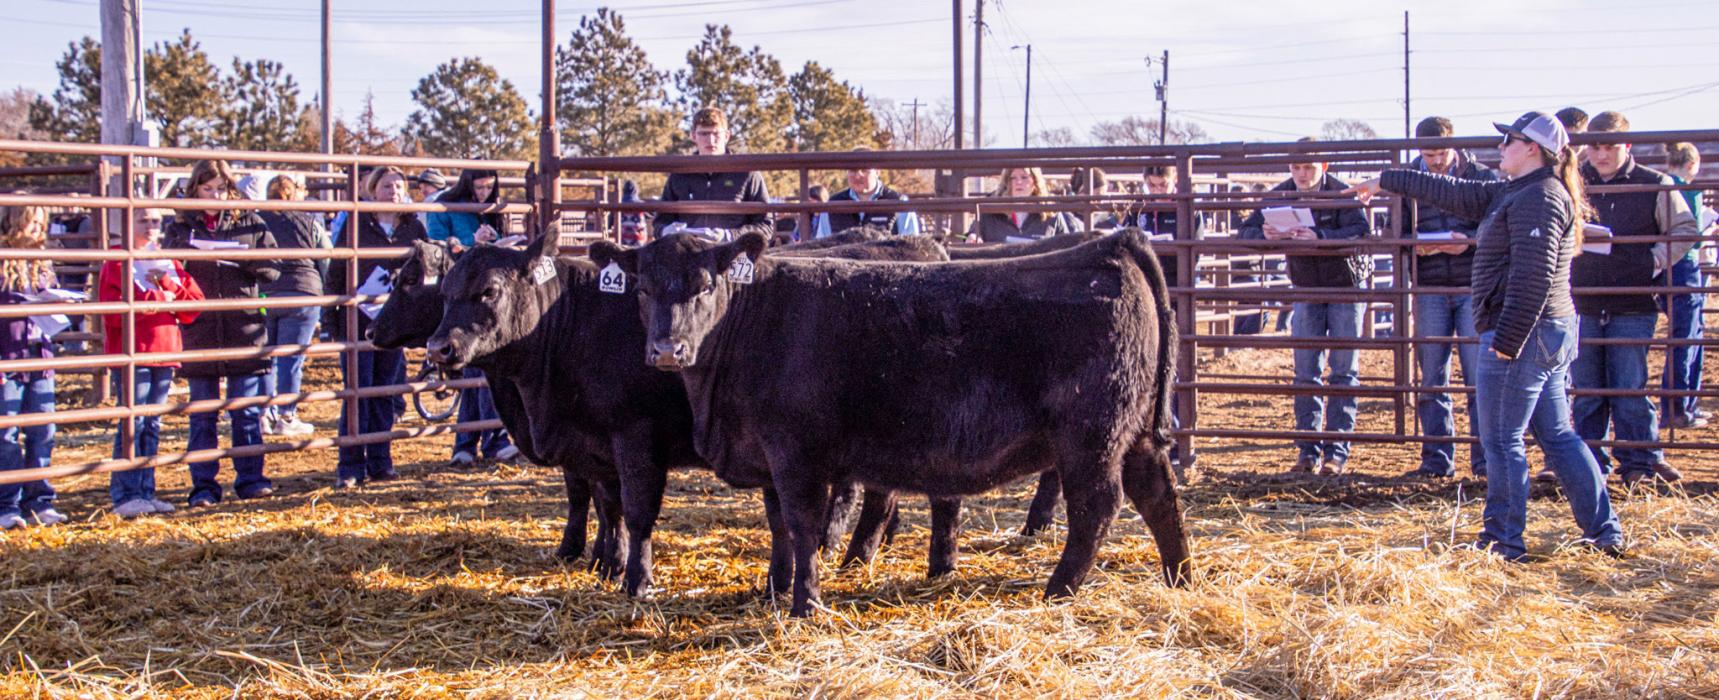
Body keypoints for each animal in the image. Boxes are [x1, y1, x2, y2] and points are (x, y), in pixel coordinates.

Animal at [424, 230, 949, 598]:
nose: (438, 347)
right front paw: (606, 563)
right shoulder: (597, 442)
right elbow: (607, 505)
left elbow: (636, 509)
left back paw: (881, 561)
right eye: (442, 291)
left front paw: (635, 579)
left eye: (489, 291)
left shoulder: (633, 433)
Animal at [589, 228, 1190, 617]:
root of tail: (1110, 247)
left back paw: (1059, 591)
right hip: (1134, 434)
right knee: (1158, 495)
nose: (668, 350)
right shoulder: (767, 451)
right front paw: (774, 592)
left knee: (1096, 508)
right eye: (641, 289)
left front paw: (805, 605)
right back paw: (1180, 578)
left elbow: (803, 525)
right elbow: (779, 525)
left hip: (1091, 437)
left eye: (706, 286)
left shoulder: (796, 451)